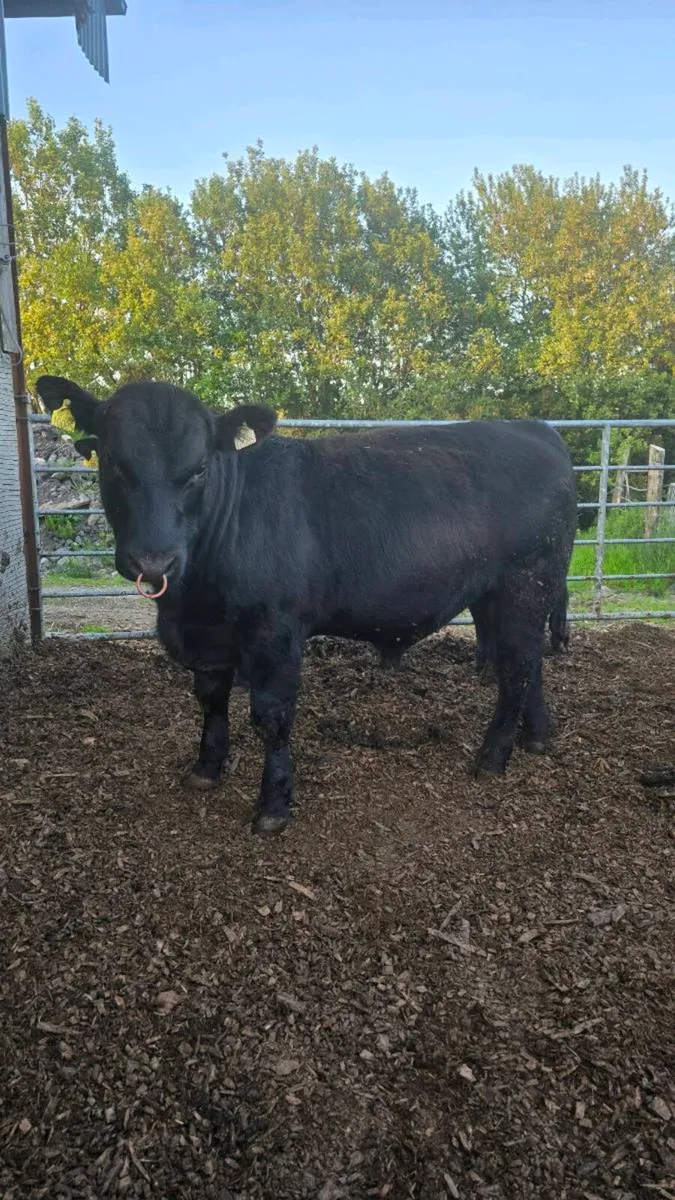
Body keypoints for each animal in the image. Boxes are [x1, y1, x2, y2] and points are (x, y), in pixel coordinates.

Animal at [37, 375, 577, 836]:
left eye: (198, 470)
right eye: (113, 463)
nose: (154, 559)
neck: (192, 599)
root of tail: (534, 429)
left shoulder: (274, 633)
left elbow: (271, 718)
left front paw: (273, 808)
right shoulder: (209, 640)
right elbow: (211, 701)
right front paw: (206, 768)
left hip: (525, 585)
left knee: (516, 670)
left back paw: (492, 758)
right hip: (500, 597)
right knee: (527, 662)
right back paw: (537, 736)